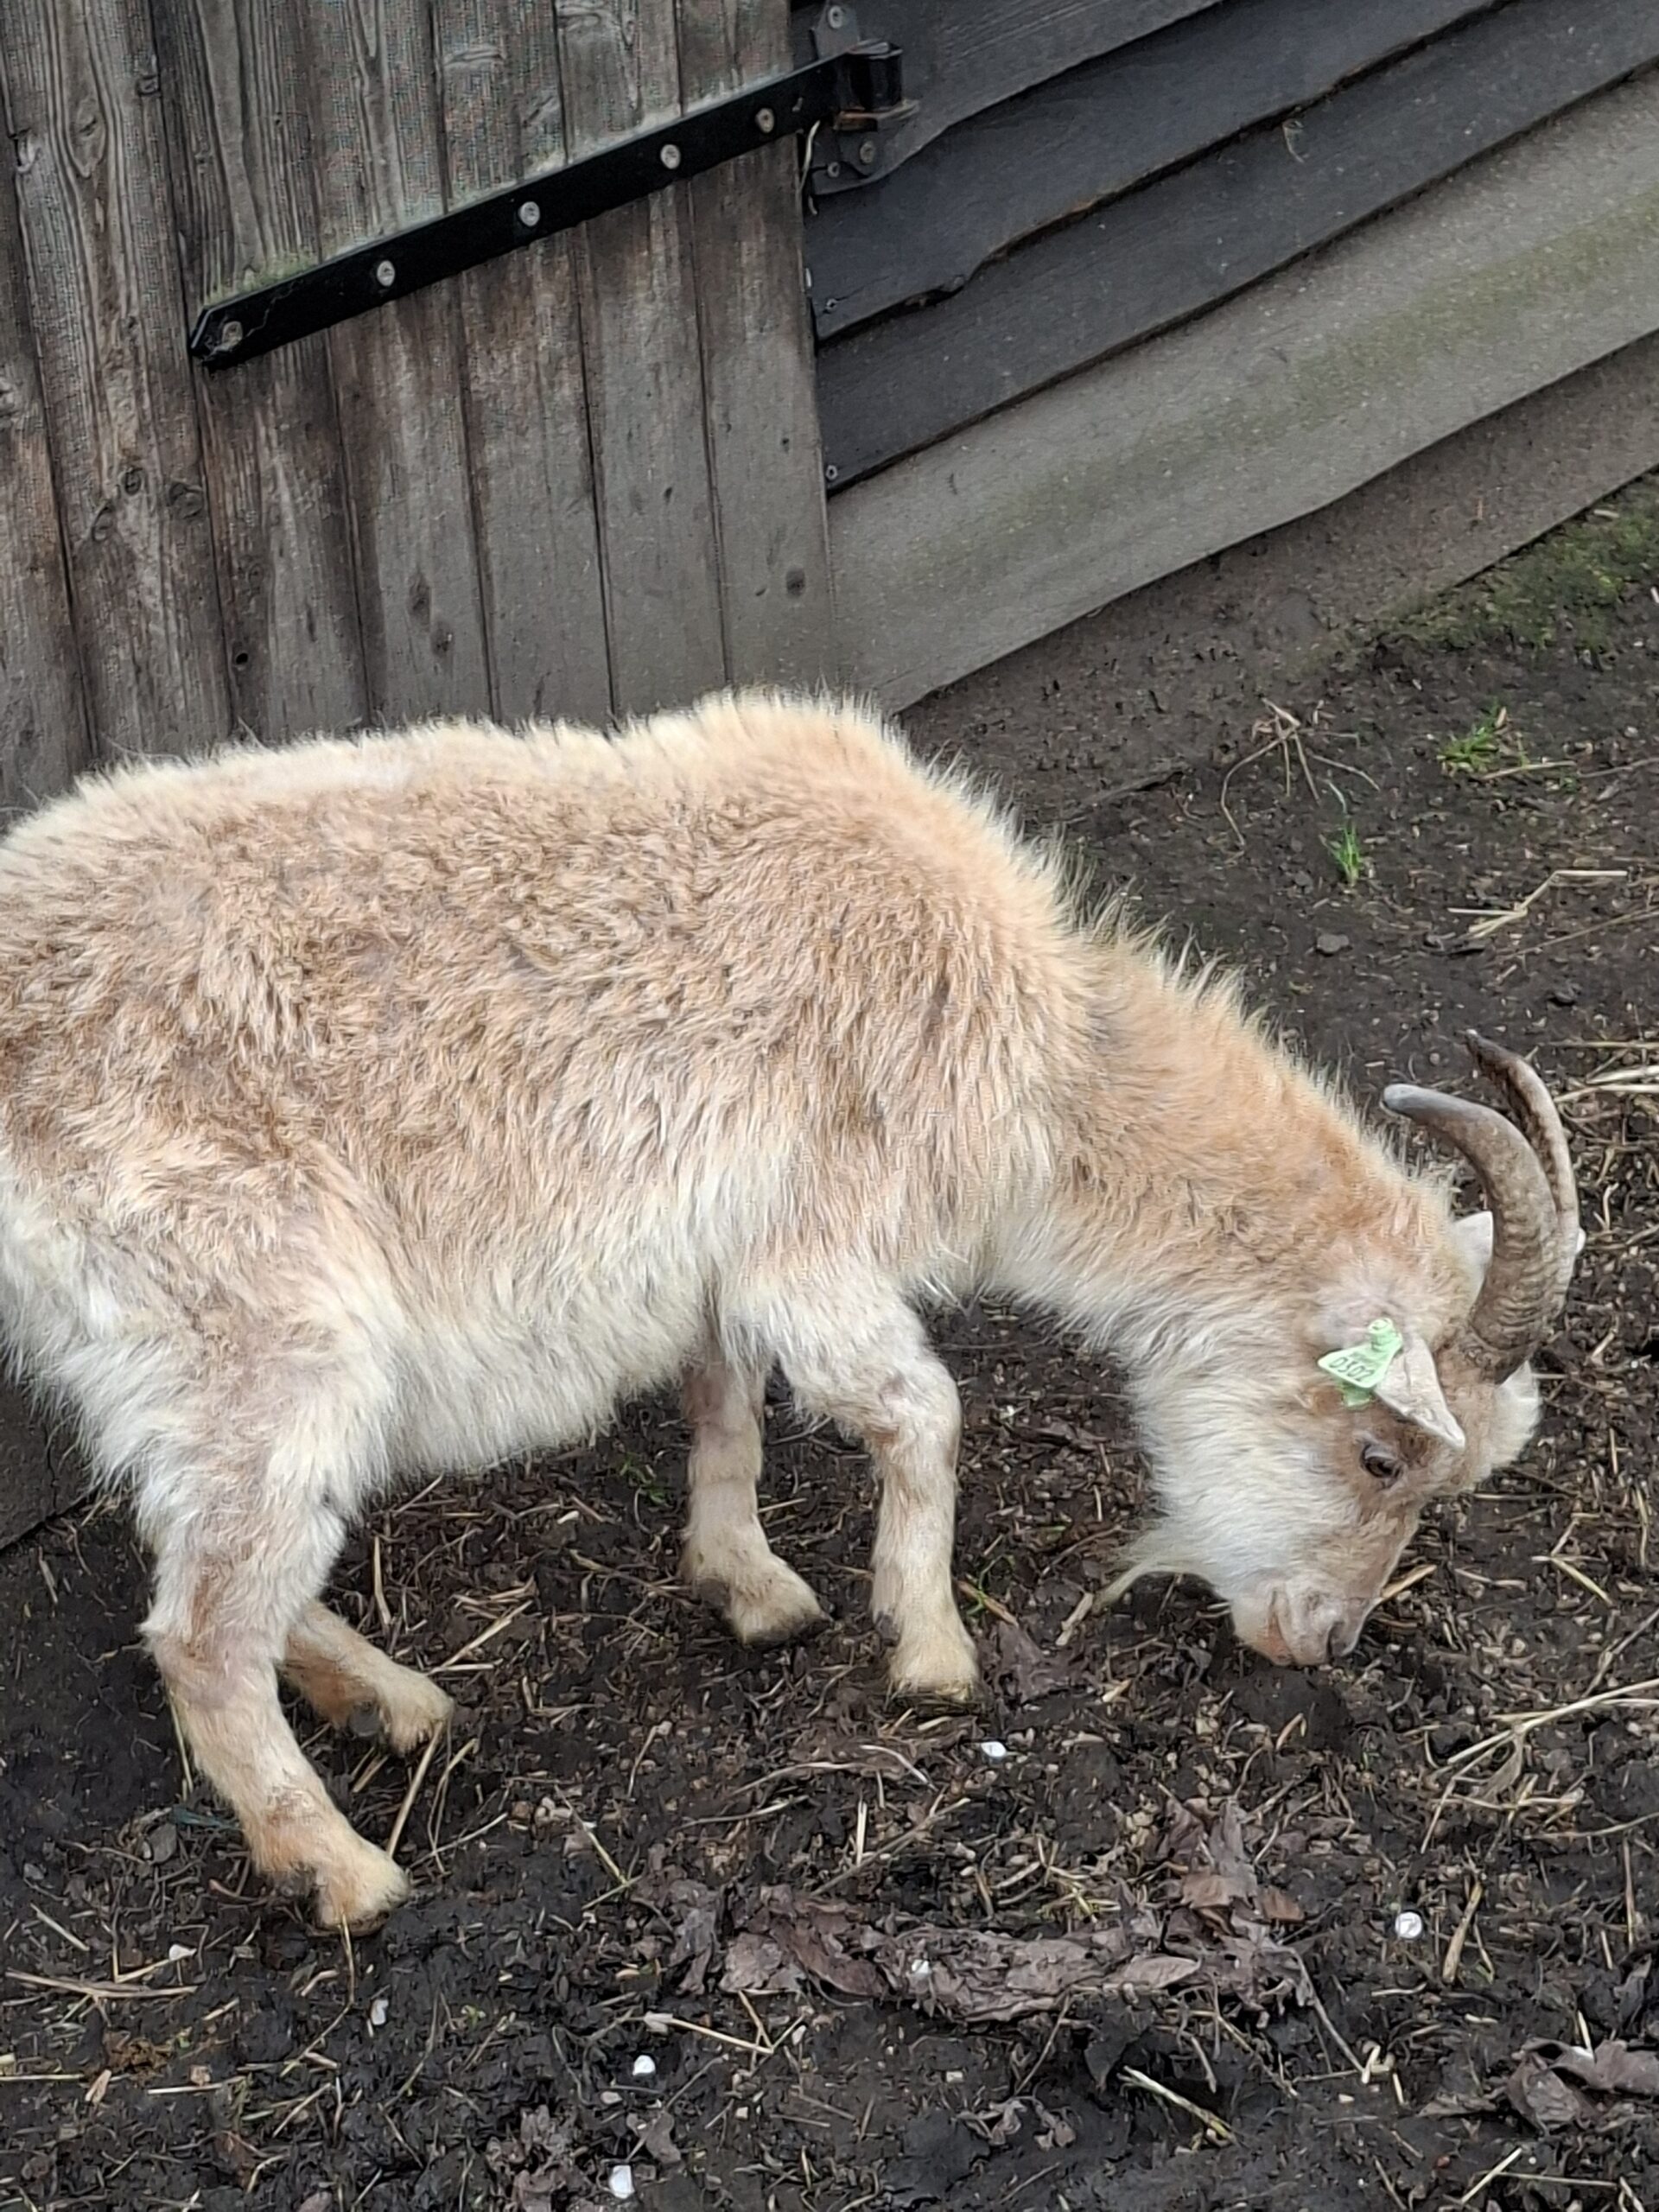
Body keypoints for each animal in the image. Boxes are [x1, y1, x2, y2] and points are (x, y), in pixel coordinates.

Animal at [0, 691, 1579, 1929]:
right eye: (1379, 1453)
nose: (1318, 1640)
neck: (1051, 1063)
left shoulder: (723, 1254)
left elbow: (727, 1406)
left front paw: (748, 1584)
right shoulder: (815, 1243)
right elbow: (927, 1412)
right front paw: (931, 1649)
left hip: (188, 1365)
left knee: (205, 1559)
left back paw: (390, 1703)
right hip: (256, 1323)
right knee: (201, 1628)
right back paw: (338, 1866)